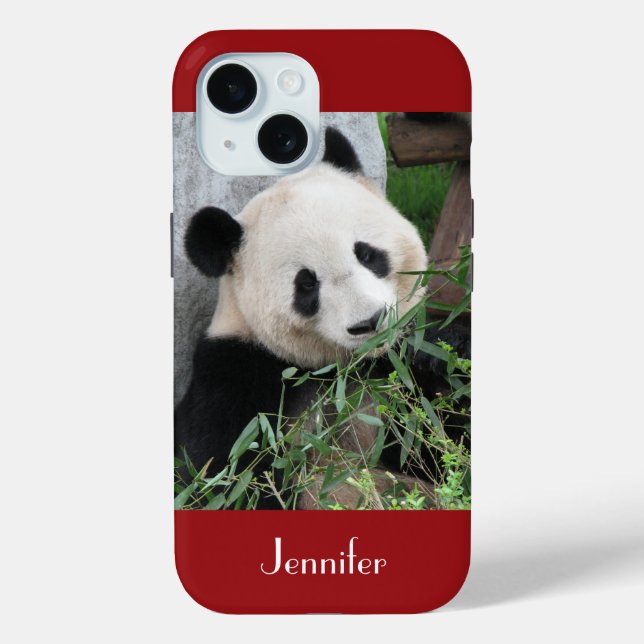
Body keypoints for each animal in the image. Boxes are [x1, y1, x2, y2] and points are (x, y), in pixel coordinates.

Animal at [175, 127, 470, 509]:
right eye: (307, 284)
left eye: (366, 254)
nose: (370, 322)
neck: (340, 369)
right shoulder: (235, 378)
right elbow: (226, 481)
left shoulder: (393, 376)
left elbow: (439, 448)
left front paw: (444, 353)